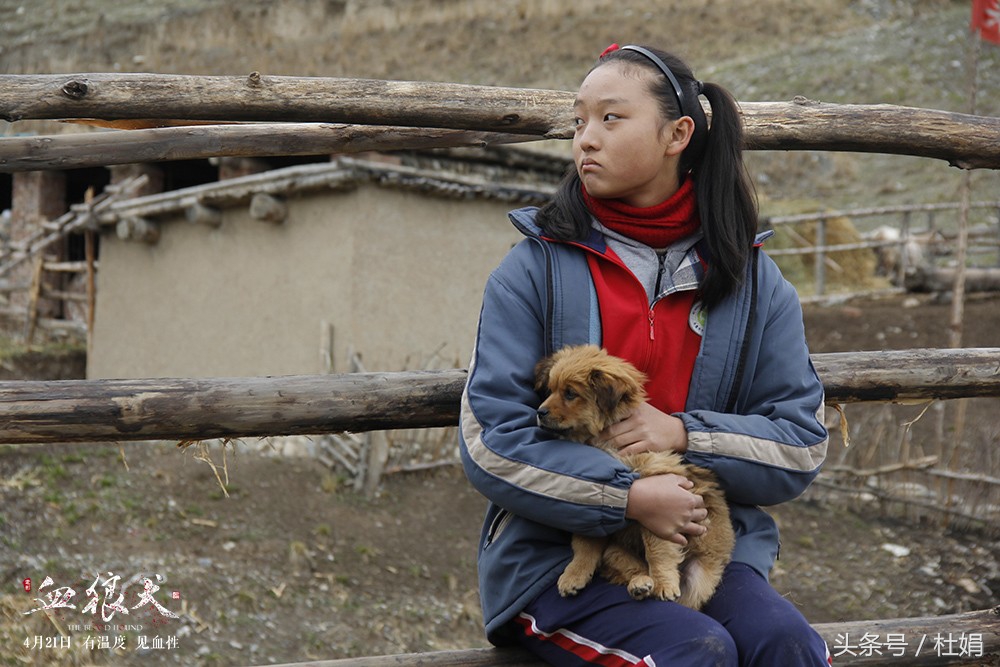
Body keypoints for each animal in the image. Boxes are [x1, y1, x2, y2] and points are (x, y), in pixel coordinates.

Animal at [540, 344, 736, 612]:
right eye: (551, 390)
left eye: (570, 394)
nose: (539, 412)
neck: (604, 441)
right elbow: (585, 544)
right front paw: (575, 574)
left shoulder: (663, 499)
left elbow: (657, 548)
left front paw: (664, 582)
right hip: (614, 551)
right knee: (632, 568)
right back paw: (640, 584)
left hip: (700, 575)